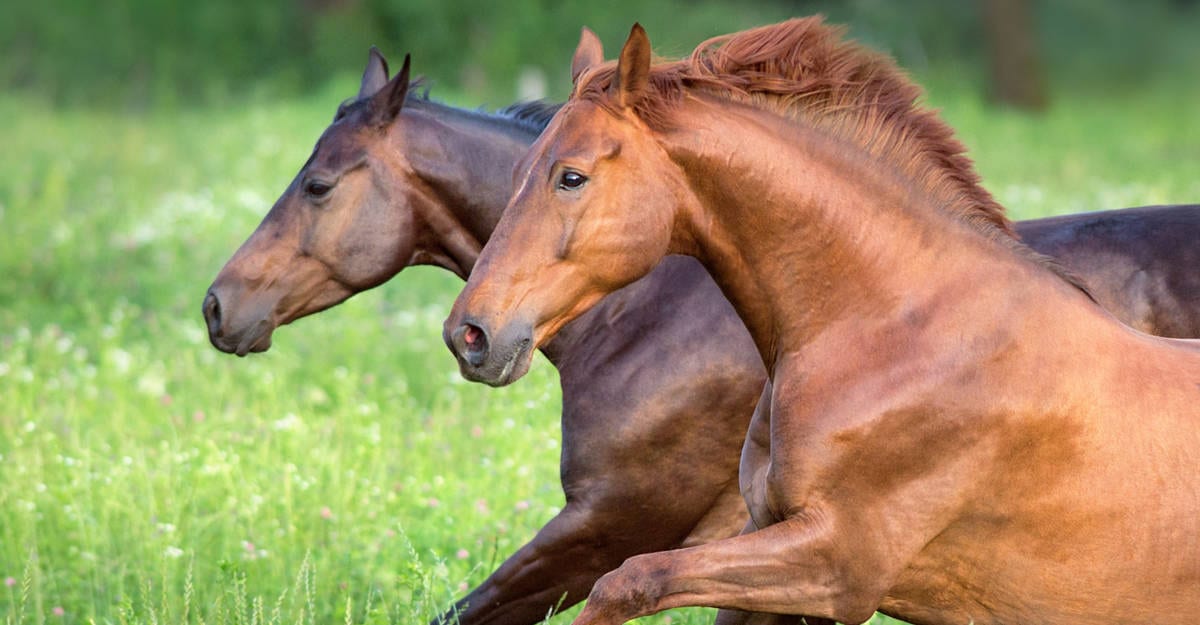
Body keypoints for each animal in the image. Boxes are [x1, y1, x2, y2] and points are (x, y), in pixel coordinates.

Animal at [444, 17, 1200, 625]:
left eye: (570, 176)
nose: (470, 335)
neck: (897, 337)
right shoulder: (772, 554)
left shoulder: (835, 564)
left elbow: (627, 580)